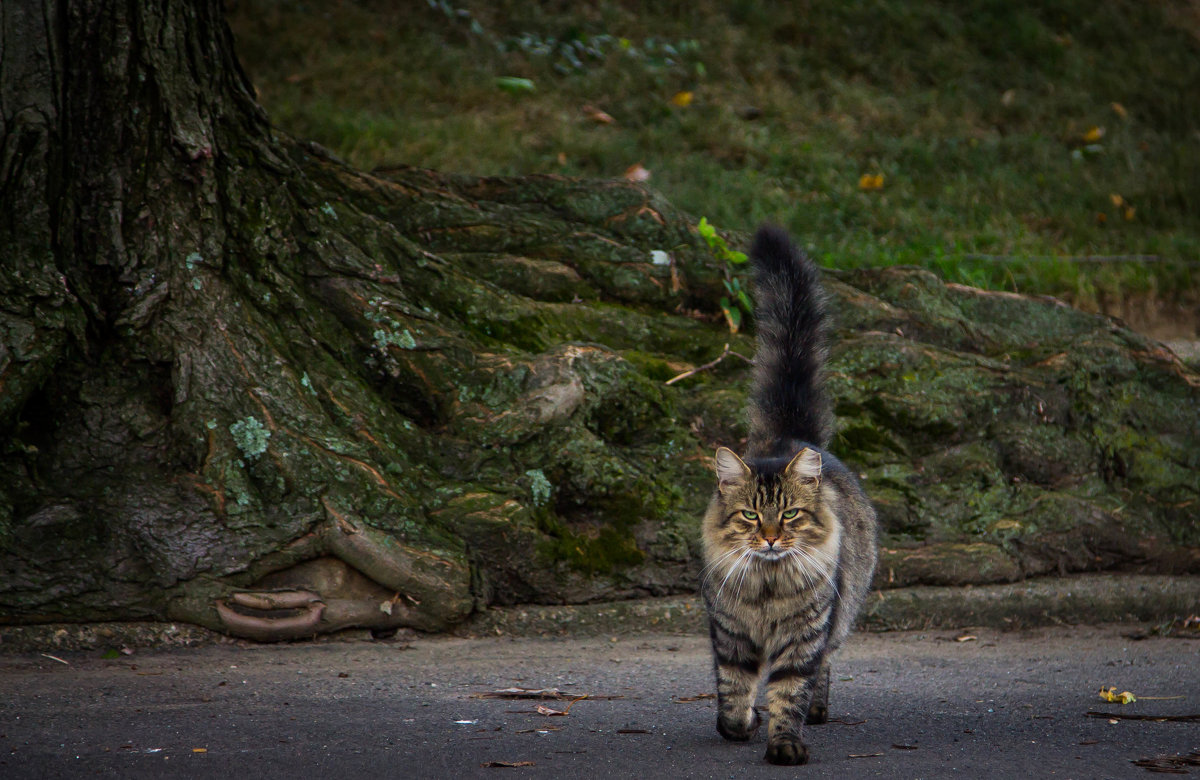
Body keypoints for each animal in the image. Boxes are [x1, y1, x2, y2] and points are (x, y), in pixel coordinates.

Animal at [700, 222, 878, 763]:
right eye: (751, 517)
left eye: (792, 514)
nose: (773, 538)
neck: (767, 587)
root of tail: (791, 437)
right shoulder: (731, 637)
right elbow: (733, 696)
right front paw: (743, 725)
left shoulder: (804, 637)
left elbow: (789, 690)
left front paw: (784, 744)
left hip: (841, 614)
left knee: (825, 667)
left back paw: (817, 711)